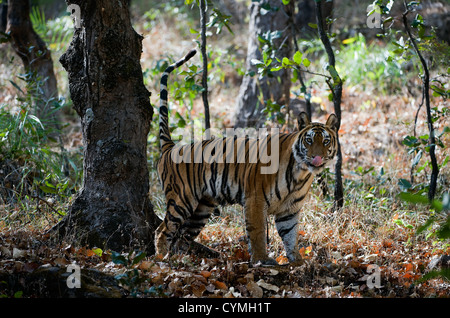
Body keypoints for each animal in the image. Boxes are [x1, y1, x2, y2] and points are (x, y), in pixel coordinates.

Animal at [155, 49, 338, 264]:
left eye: (325, 141)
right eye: (309, 140)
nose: (317, 157)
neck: (300, 174)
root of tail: (170, 148)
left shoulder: (289, 210)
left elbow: (291, 236)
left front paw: (297, 261)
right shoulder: (255, 200)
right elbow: (257, 232)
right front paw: (262, 260)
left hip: (201, 209)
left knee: (182, 236)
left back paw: (179, 261)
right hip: (181, 199)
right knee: (162, 230)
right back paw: (160, 259)